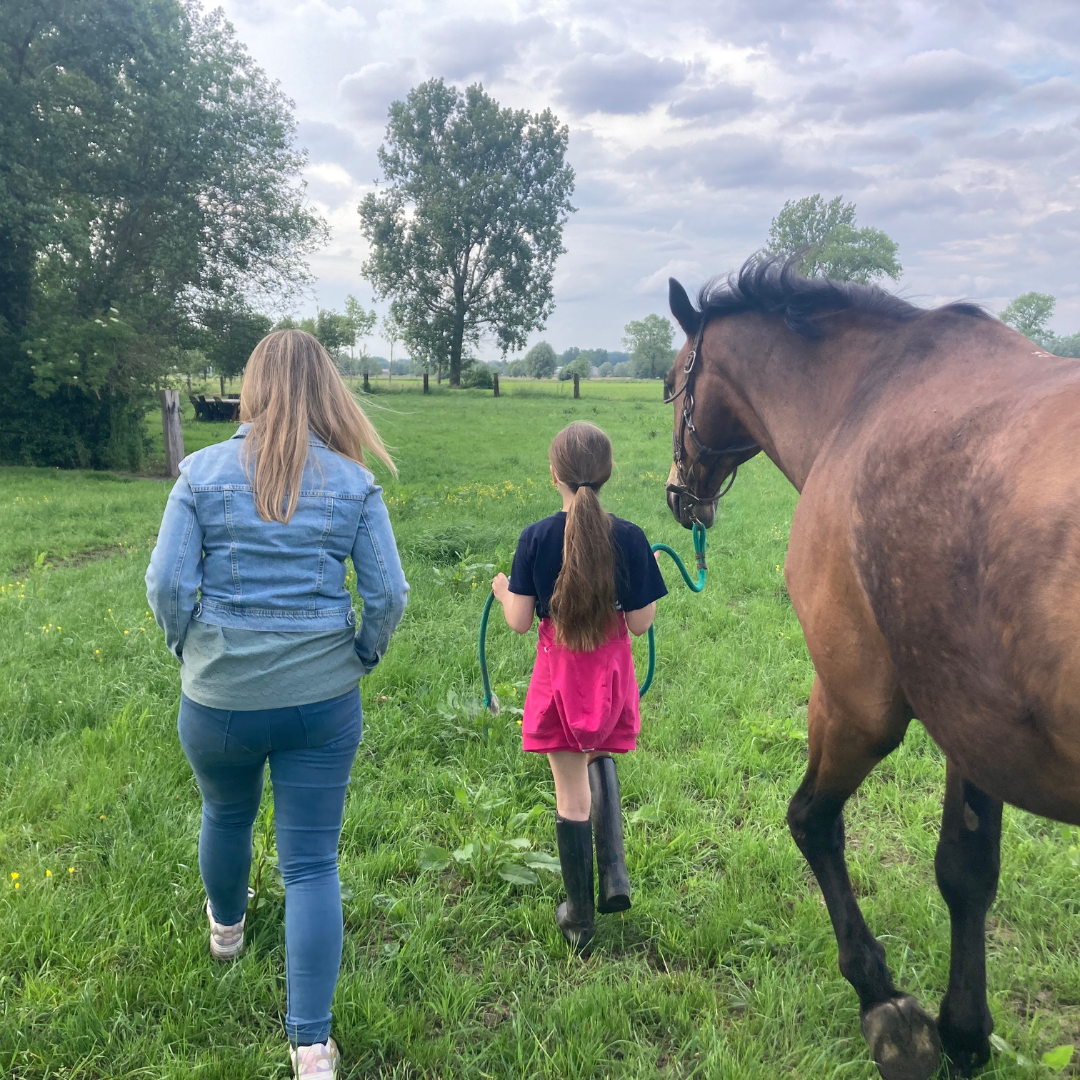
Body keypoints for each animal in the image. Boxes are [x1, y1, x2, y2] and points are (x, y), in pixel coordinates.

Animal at [663, 256, 1080, 1080]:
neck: (860, 399)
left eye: (670, 387)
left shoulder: (856, 702)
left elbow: (811, 822)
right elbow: (966, 868)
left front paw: (884, 1003)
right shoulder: (973, 723)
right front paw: (963, 1031)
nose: (676, 494)